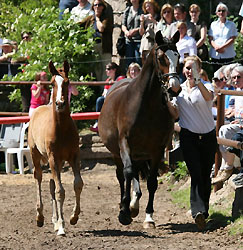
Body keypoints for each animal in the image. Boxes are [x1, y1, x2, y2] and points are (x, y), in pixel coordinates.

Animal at [28, 61, 83, 236]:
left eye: (67, 82)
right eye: (52, 83)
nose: (59, 103)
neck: (61, 129)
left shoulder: (73, 156)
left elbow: (77, 184)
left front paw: (73, 217)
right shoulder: (52, 158)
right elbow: (60, 191)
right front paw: (62, 225)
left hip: (58, 162)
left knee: (52, 184)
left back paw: (54, 220)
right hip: (35, 154)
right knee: (38, 177)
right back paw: (40, 216)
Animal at [98, 31, 179, 229]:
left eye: (179, 57)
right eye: (161, 57)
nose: (174, 88)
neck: (145, 105)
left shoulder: (156, 149)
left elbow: (152, 181)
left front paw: (148, 216)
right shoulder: (124, 143)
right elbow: (127, 173)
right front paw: (124, 212)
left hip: (140, 153)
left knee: (136, 173)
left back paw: (135, 203)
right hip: (117, 152)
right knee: (123, 175)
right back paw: (127, 205)